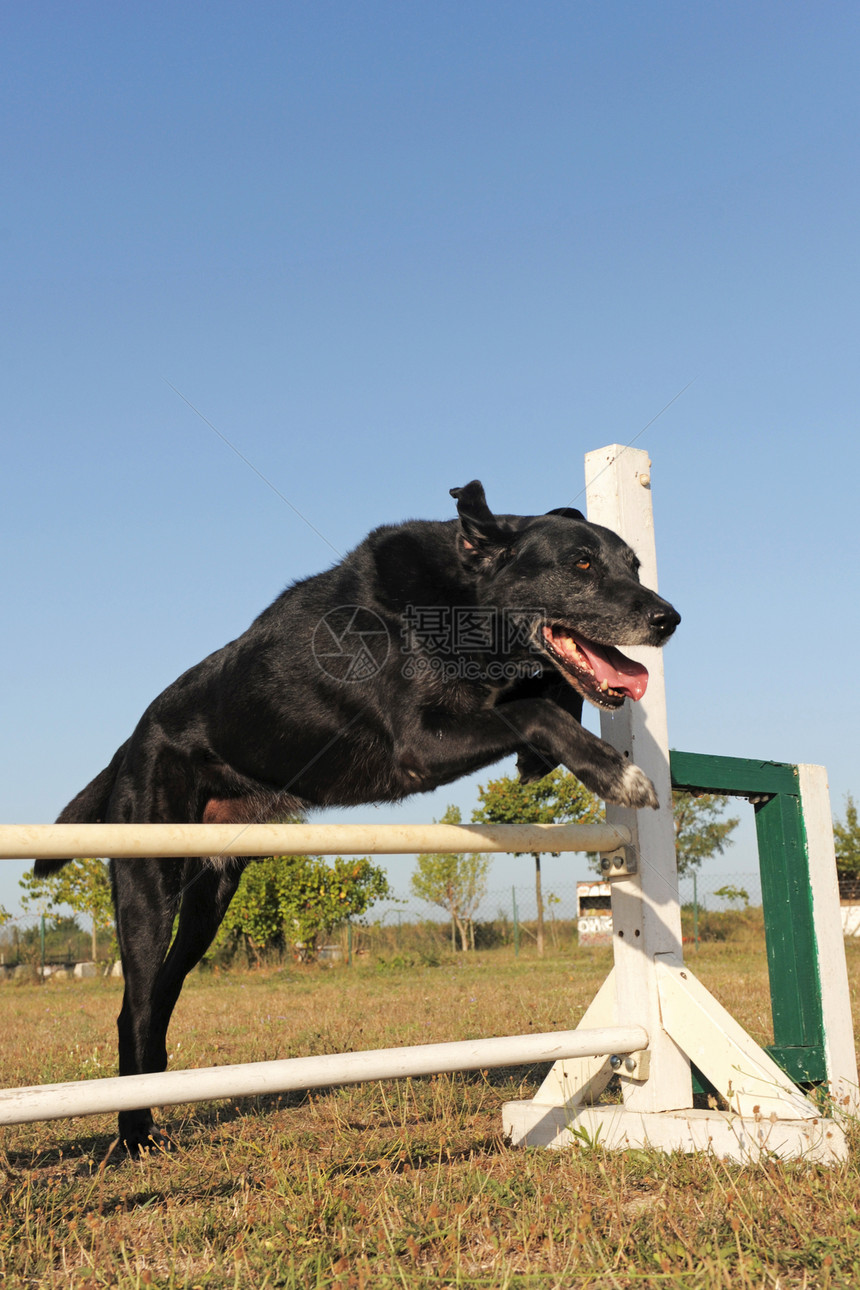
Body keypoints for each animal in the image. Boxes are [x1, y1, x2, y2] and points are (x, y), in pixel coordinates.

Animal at [38, 485, 680, 1150]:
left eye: (634, 564)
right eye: (581, 563)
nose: (668, 620)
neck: (459, 597)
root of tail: (131, 744)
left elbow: (547, 691)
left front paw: (545, 755)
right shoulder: (421, 745)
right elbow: (536, 710)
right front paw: (616, 773)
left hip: (210, 899)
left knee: (161, 997)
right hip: (149, 885)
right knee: (133, 1008)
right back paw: (133, 1131)